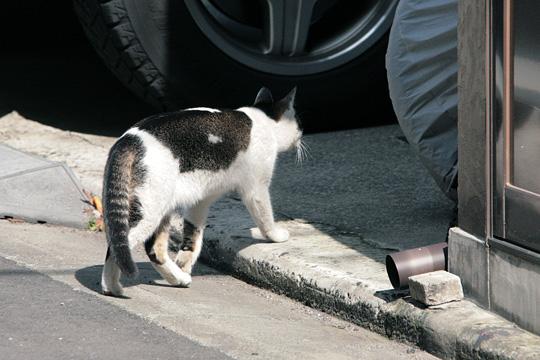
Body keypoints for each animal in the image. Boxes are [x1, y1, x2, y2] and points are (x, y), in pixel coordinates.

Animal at [100, 87, 304, 296]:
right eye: (298, 121)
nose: (302, 133)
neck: (263, 120)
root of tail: (129, 139)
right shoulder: (257, 189)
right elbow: (265, 218)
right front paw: (276, 236)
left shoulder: (200, 202)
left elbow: (193, 236)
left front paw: (184, 264)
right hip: (149, 209)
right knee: (124, 244)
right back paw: (113, 287)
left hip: (161, 207)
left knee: (144, 246)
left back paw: (175, 279)